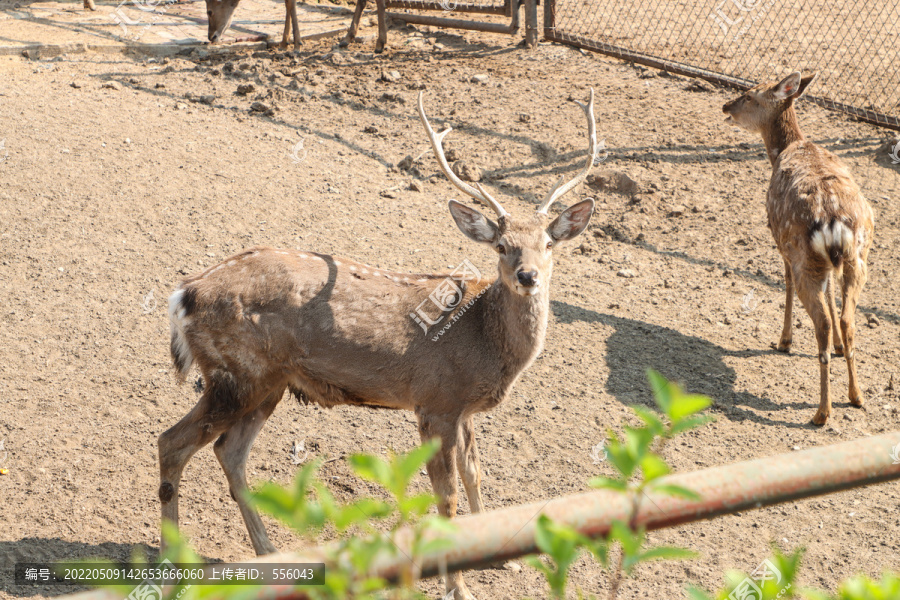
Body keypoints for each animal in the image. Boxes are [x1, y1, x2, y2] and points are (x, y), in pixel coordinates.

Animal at [158, 88, 600, 596]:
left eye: (548, 244)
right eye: (501, 246)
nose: (528, 276)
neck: (485, 349)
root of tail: (184, 294)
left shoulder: (464, 409)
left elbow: (476, 475)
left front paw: (500, 559)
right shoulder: (436, 401)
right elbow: (446, 498)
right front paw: (458, 585)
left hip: (268, 383)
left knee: (228, 453)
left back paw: (271, 555)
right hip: (235, 373)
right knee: (171, 443)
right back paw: (171, 570)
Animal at [724, 71, 872, 426]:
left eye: (748, 95)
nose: (725, 106)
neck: (786, 149)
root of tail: (834, 221)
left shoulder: (780, 240)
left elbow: (786, 282)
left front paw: (784, 340)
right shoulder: (829, 264)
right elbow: (831, 292)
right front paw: (838, 348)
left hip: (805, 255)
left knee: (823, 321)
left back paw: (822, 412)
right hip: (857, 259)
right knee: (846, 318)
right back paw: (856, 395)